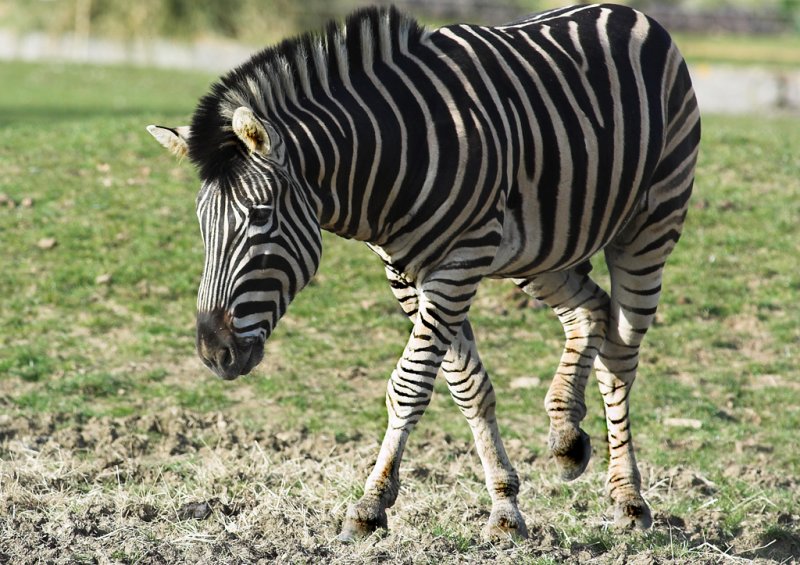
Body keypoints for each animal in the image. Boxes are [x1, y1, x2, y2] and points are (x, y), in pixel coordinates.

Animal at [148, 4, 700, 540]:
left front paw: (369, 507)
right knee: (591, 311)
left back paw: (628, 499)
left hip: (651, 224)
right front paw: (505, 507)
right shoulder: (406, 272)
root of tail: (629, 13)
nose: (214, 354)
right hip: (537, 249)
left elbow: (409, 384)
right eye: (202, 224)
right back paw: (566, 436)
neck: (388, 155)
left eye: (260, 217)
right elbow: (466, 385)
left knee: (620, 355)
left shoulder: (460, 259)